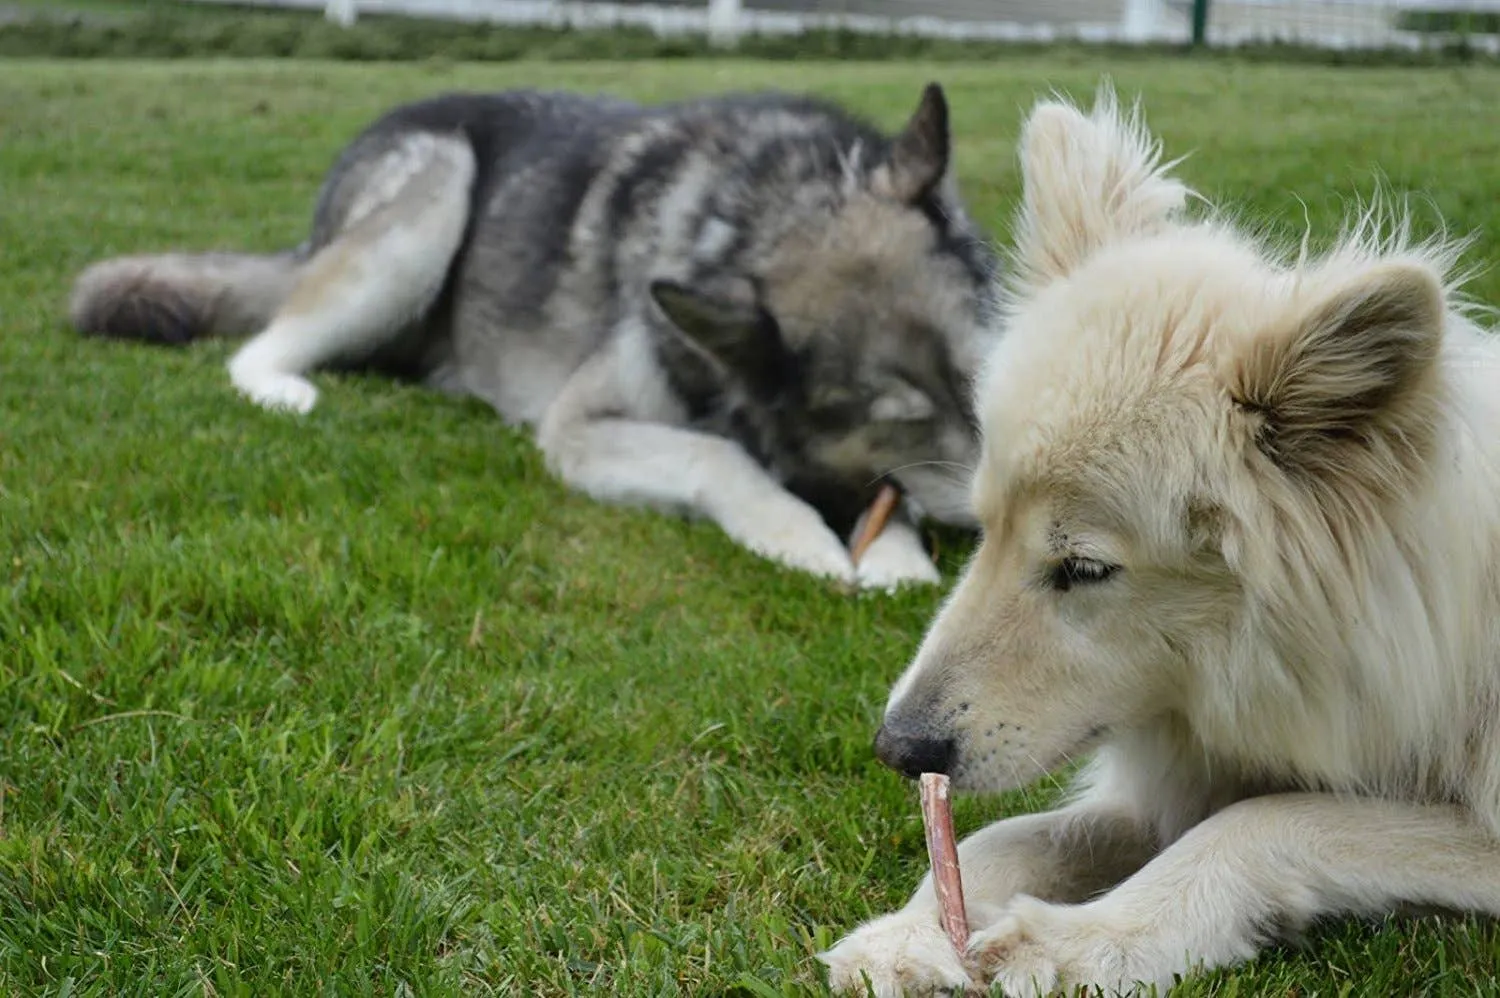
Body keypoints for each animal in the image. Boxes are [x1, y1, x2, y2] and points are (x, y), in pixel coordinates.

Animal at [70, 85, 996, 588]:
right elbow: (718, 456)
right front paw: (798, 534)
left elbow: (886, 491)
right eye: (903, 417)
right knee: (264, 338)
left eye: (981, 384)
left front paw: (896, 556)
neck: (758, 209)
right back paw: (283, 387)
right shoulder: (577, 428)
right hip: (435, 194)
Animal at [816, 83, 1500, 990]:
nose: (896, 748)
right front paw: (911, 931)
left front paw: (1085, 940)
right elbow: (1006, 838)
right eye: (986, 530)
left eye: (1084, 568)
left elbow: (1266, 821)